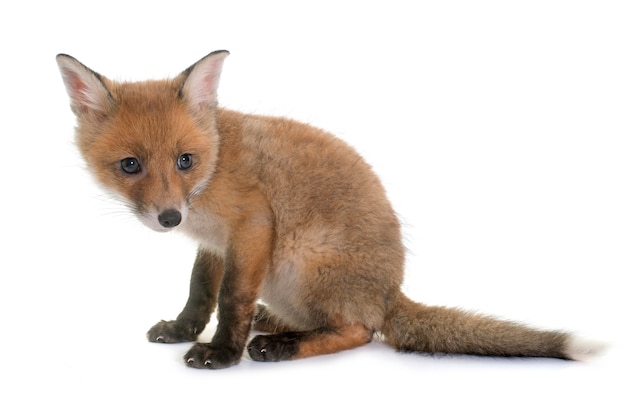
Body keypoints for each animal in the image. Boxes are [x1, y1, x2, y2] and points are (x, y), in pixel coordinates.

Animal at [57, 50, 600, 366]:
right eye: (130, 165)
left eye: (184, 160)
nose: (169, 218)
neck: (216, 166)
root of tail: (390, 292)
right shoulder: (214, 243)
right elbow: (200, 291)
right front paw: (183, 329)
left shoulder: (251, 225)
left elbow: (231, 298)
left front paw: (223, 351)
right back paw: (277, 324)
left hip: (301, 262)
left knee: (361, 331)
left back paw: (282, 345)